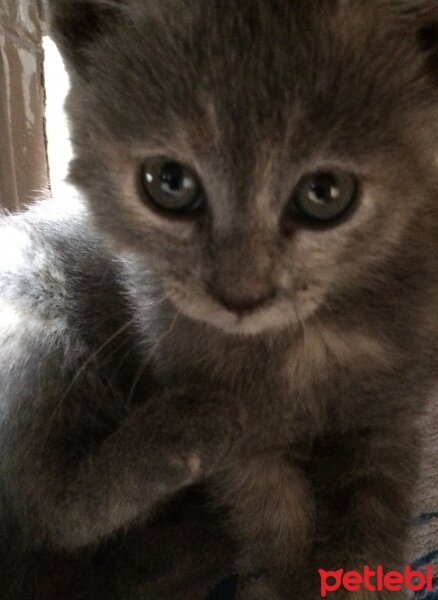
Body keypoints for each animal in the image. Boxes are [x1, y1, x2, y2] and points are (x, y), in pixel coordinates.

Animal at [0, 1, 438, 600]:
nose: (240, 295)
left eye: (325, 192)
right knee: (44, 510)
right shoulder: (247, 454)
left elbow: (374, 512)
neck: (301, 346)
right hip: (30, 312)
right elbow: (275, 518)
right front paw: (294, 577)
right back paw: (187, 434)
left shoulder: (392, 408)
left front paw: (357, 575)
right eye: (169, 182)